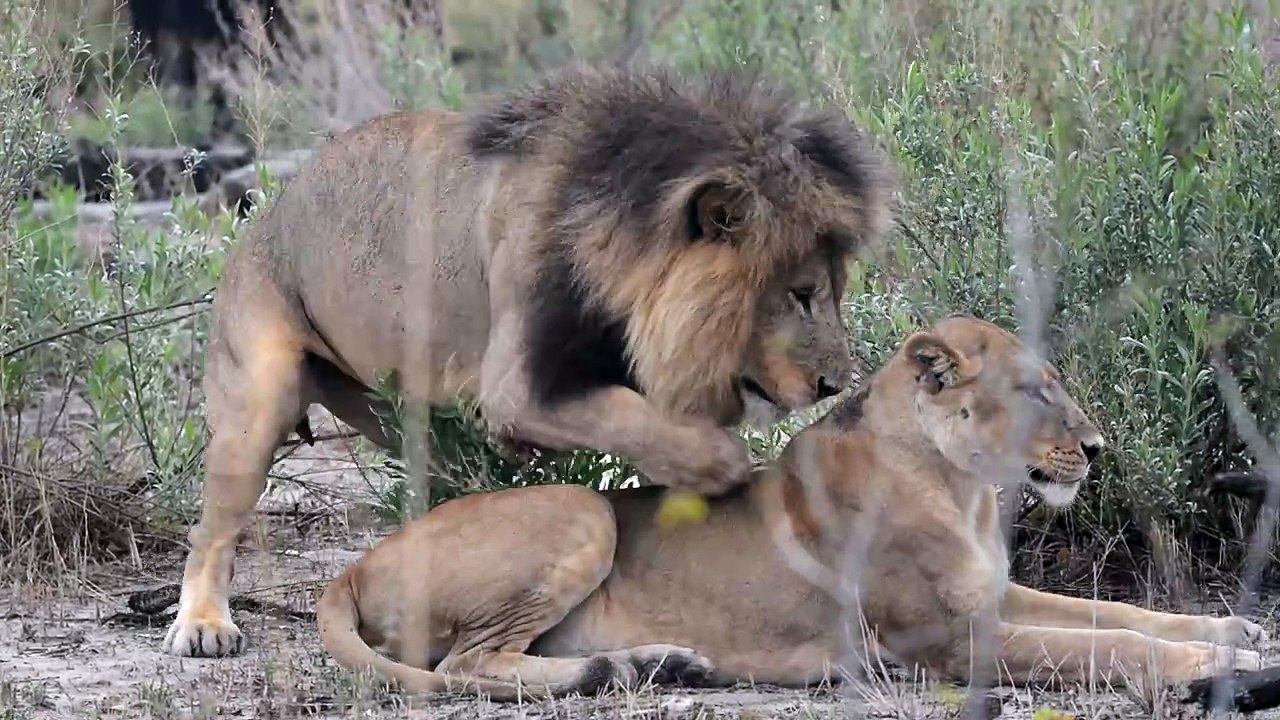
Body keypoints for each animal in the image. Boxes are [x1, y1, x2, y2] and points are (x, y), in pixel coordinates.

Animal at [162, 64, 894, 658]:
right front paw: (721, 468)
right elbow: (635, 419)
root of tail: (259, 219)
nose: (834, 384)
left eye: (831, 291)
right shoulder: (518, 390)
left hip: (408, 421)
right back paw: (202, 625)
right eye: (801, 294)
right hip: (255, 397)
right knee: (211, 529)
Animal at [313, 314, 1268, 700]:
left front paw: (1231, 630)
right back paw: (621, 672)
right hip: (580, 510)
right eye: (1035, 392)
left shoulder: (995, 594)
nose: (1099, 448)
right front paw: (1208, 666)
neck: (963, 489)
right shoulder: (945, 640)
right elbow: (1105, 646)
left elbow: (1122, 612)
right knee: (465, 665)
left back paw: (661, 666)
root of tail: (354, 566)